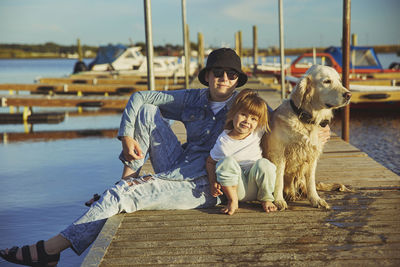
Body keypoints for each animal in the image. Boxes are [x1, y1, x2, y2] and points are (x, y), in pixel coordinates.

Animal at [266, 65, 350, 211]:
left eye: (339, 81)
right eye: (327, 81)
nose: (349, 95)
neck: (306, 119)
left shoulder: (311, 155)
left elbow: (310, 181)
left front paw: (315, 199)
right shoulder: (278, 155)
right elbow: (278, 180)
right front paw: (278, 200)